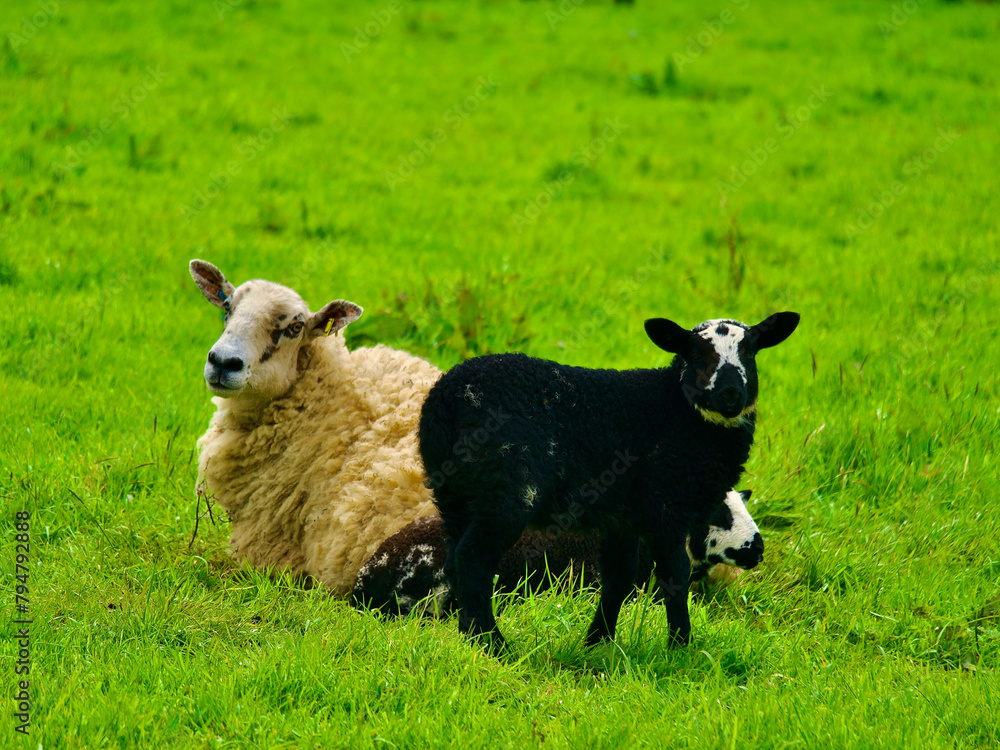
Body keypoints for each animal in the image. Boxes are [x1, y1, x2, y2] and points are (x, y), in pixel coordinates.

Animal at [418, 313, 799, 652]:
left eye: (750, 352)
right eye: (696, 353)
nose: (730, 393)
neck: (678, 411)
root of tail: (444, 401)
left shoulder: (624, 517)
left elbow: (618, 576)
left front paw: (598, 643)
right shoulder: (666, 506)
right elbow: (675, 575)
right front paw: (680, 646)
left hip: (454, 495)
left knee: (454, 563)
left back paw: (468, 639)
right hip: (505, 491)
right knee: (474, 560)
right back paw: (494, 646)